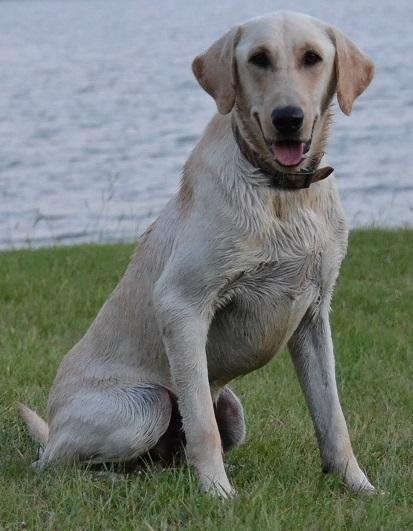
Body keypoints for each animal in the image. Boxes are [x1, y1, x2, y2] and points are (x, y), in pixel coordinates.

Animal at [19, 11, 374, 498]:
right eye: (258, 59)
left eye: (312, 58)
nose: (288, 118)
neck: (280, 193)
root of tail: (52, 426)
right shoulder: (182, 304)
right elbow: (202, 425)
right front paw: (218, 494)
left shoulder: (314, 316)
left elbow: (333, 419)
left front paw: (359, 486)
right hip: (144, 407)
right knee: (55, 463)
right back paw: (107, 477)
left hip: (234, 411)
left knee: (163, 456)